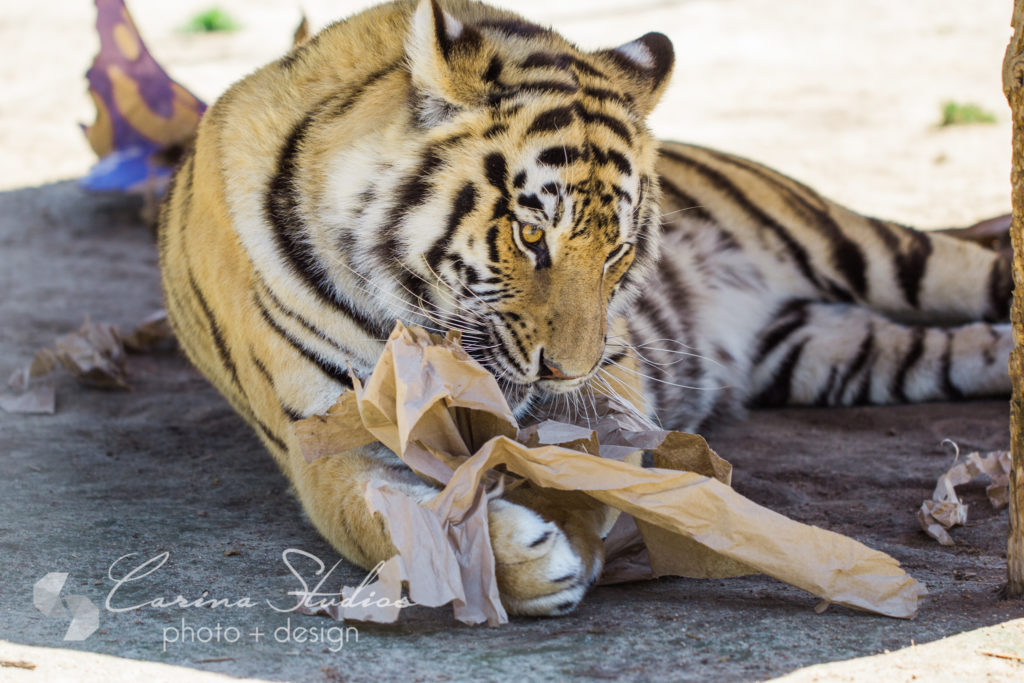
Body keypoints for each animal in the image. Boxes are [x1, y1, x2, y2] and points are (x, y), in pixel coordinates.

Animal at [155, 0, 1011, 618]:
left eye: (618, 252)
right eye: (530, 234)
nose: (565, 368)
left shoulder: (614, 367)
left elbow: (607, 455)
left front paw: (584, 524)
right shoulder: (324, 439)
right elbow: (374, 517)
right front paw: (526, 564)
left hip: (872, 251)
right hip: (826, 353)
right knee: (964, 348)